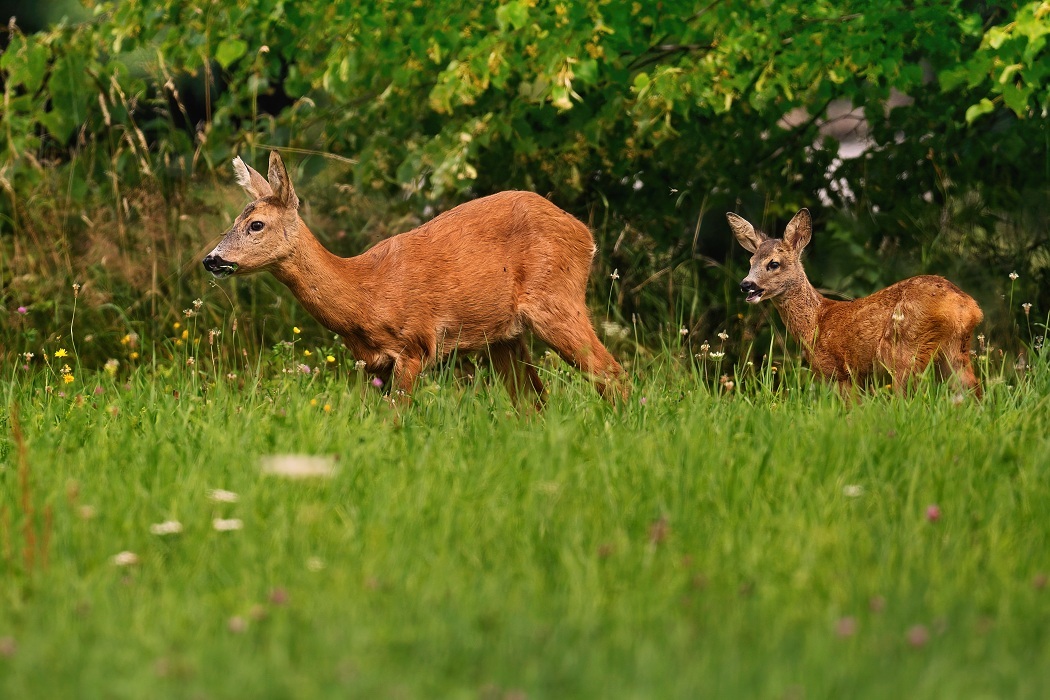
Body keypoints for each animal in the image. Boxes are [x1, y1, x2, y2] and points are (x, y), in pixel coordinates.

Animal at [201, 153, 625, 405]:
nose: (211, 259)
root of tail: (585, 235)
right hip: (505, 336)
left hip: (556, 300)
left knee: (610, 373)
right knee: (534, 400)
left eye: (256, 224)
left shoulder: (415, 345)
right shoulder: (372, 364)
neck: (365, 294)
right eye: (233, 220)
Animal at [730, 206, 982, 398]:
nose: (746, 284)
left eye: (773, 263)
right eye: (751, 261)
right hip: (954, 351)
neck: (816, 322)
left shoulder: (841, 372)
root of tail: (967, 307)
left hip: (904, 350)